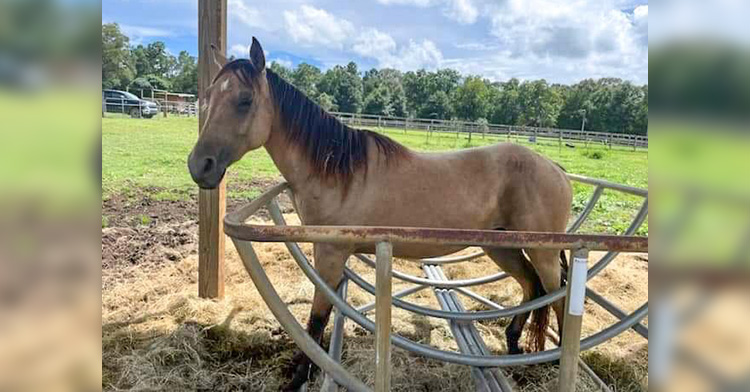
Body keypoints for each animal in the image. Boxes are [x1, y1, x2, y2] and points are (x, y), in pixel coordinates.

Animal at [191, 37, 572, 392]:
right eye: (207, 96)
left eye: (245, 100)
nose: (199, 166)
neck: (336, 171)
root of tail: (555, 168)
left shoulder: (330, 253)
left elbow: (316, 318)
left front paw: (299, 377)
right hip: (502, 247)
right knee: (532, 286)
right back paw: (513, 345)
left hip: (542, 252)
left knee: (559, 298)